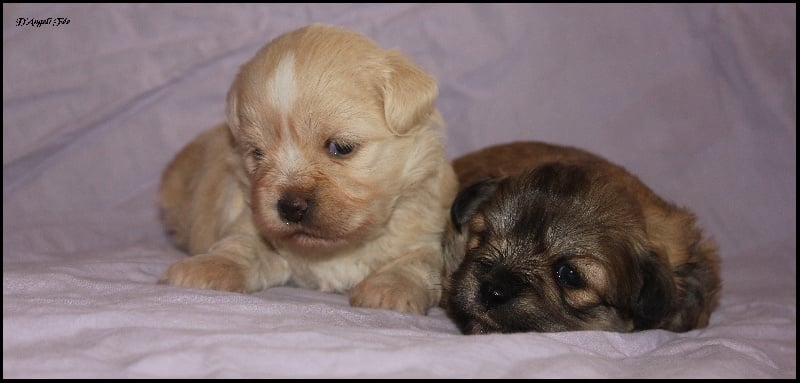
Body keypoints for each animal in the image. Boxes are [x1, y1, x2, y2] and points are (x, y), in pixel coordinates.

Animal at [158, 23, 456, 316]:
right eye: (257, 153)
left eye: (340, 147)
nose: (290, 207)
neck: (336, 248)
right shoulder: (250, 223)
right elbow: (241, 245)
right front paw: (206, 266)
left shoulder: (427, 235)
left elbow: (416, 261)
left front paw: (390, 287)